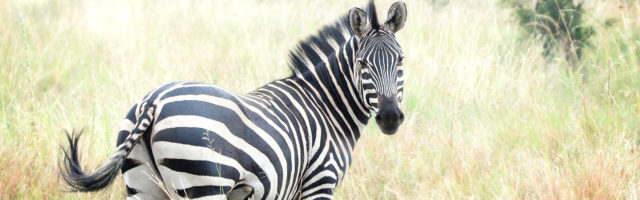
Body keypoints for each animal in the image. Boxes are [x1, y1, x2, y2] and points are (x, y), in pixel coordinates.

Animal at [62, 0, 408, 199]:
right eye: (362, 64)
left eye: (401, 60)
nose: (390, 117)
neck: (326, 106)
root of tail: (154, 102)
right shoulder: (319, 181)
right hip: (203, 184)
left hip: (142, 185)